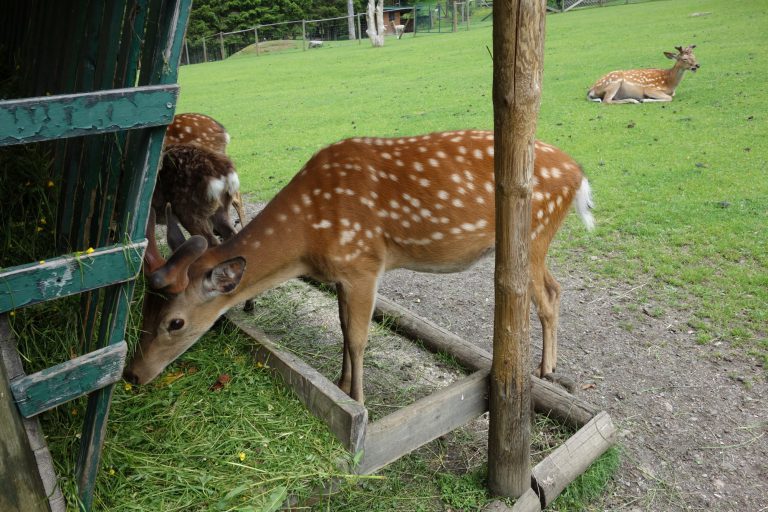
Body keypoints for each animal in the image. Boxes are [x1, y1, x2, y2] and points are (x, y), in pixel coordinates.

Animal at [124, 131, 592, 404]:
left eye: (175, 322)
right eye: (144, 308)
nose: (132, 373)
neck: (308, 238)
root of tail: (579, 175)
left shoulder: (364, 263)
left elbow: (359, 338)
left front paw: (359, 400)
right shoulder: (341, 274)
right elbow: (344, 331)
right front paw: (340, 384)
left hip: (533, 232)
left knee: (546, 297)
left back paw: (547, 371)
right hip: (538, 240)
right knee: (556, 287)